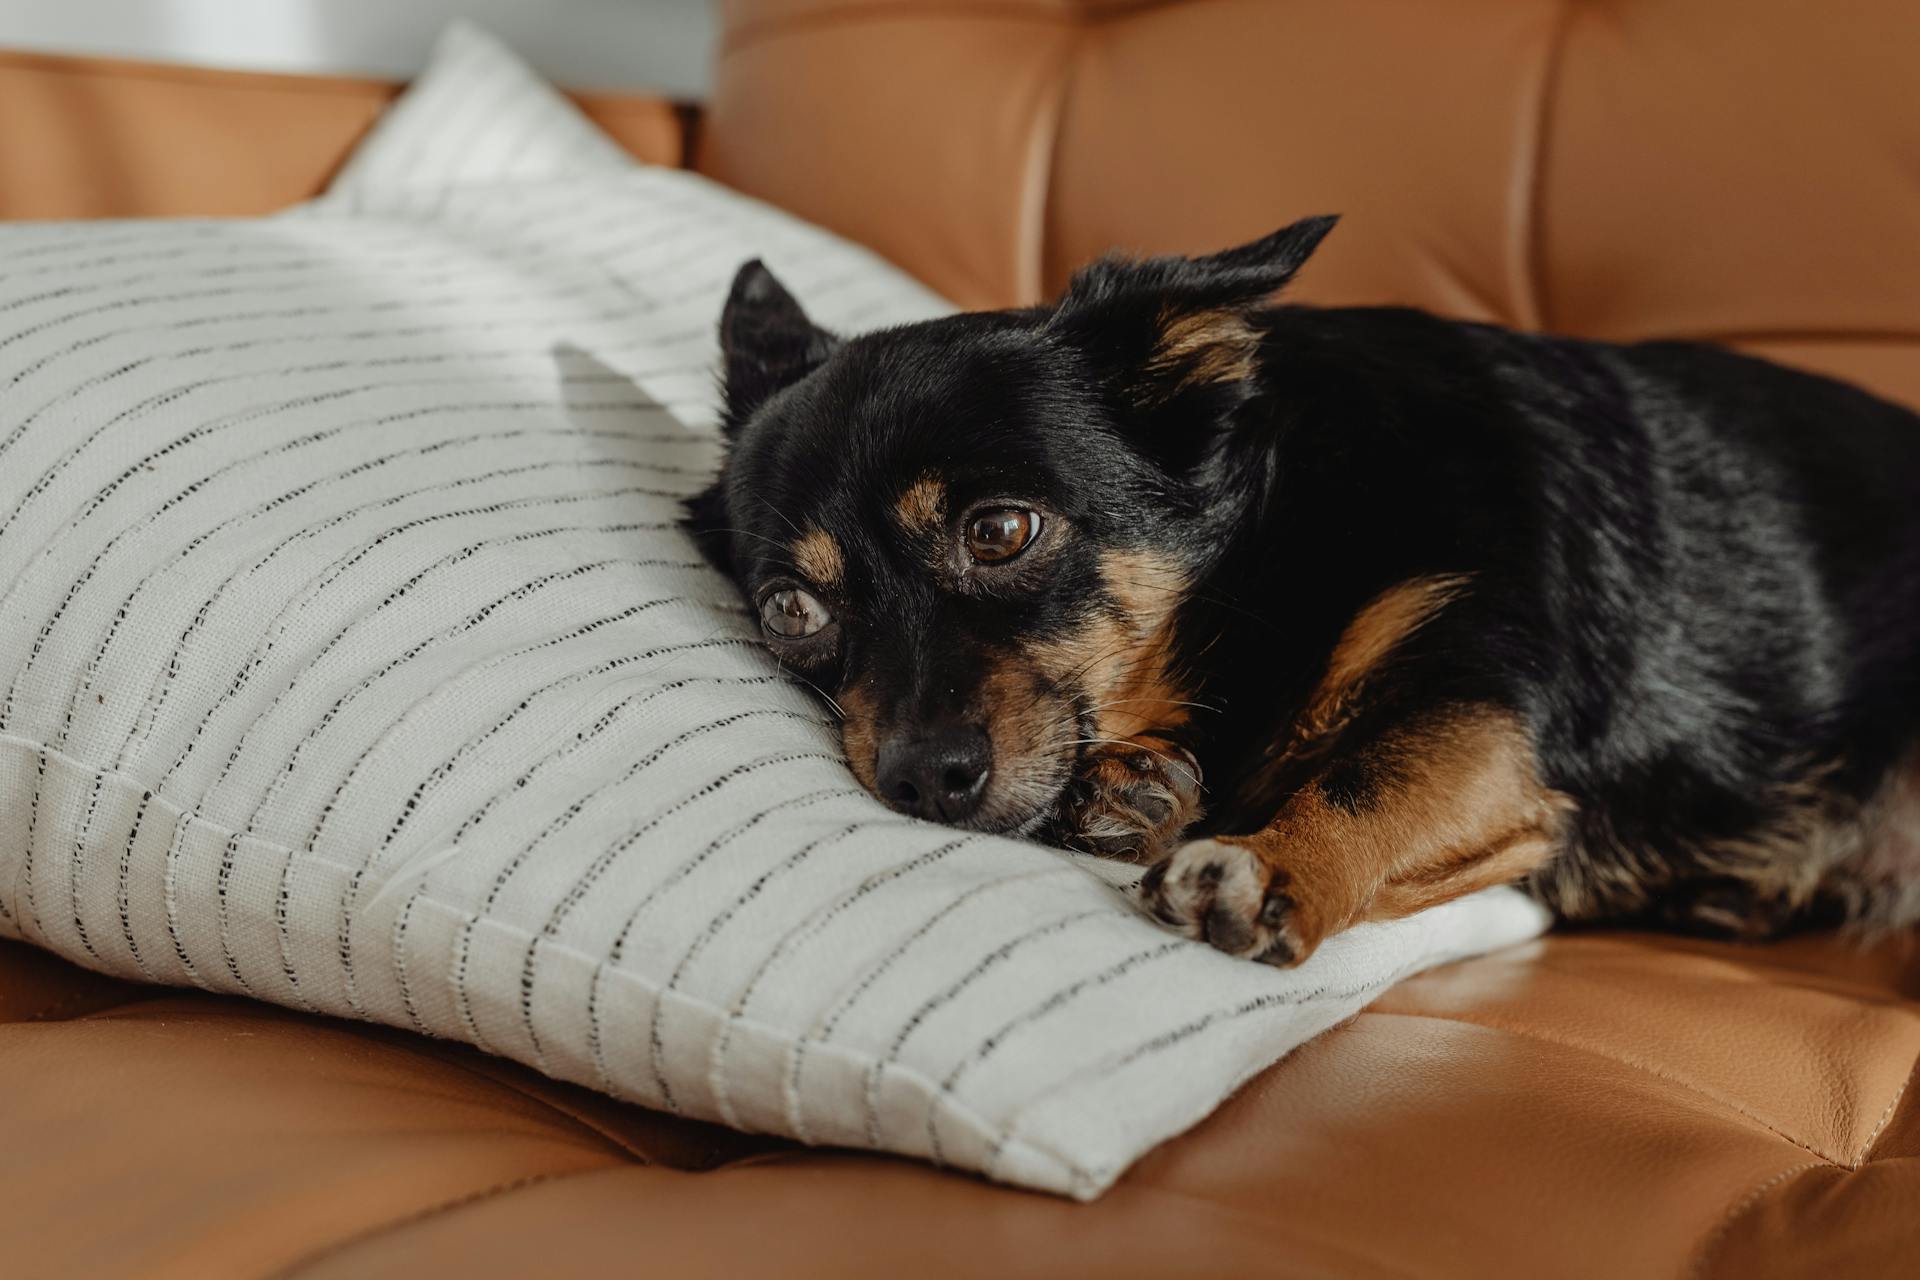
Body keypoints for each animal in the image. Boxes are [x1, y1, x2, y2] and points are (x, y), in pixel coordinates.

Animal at [691, 217, 1920, 959]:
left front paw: (1272, 862)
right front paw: (1135, 790)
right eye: (792, 611)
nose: (920, 779)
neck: (1267, 546)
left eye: (999, 531)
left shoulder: (1482, 712)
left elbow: (1373, 775)